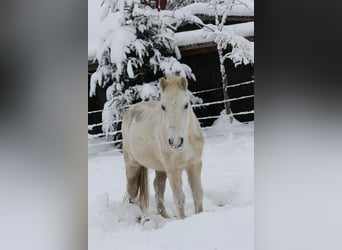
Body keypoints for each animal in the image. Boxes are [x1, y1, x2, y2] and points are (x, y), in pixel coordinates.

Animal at [122, 74, 204, 219]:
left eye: (186, 105)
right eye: (163, 107)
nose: (176, 142)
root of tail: (130, 110)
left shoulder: (195, 165)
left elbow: (197, 194)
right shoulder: (173, 170)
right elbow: (179, 199)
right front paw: (183, 220)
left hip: (160, 168)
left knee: (157, 187)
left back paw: (164, 216)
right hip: (132, 164)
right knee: (132, 191)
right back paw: (137, 217)